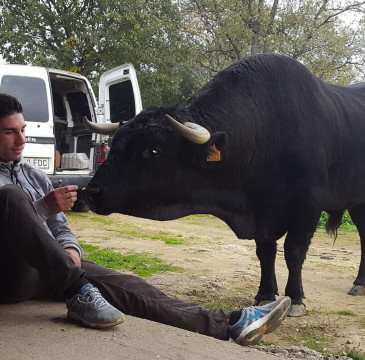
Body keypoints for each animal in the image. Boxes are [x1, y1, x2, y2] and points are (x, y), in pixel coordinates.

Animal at [82, 52, 364, 316]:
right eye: (116, 142)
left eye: (153, 150)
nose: (91, 192)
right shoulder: (262, 214)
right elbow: (266, 253)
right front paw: (265, 294)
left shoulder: (307, 208)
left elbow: (293, 253)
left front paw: (295, 298)